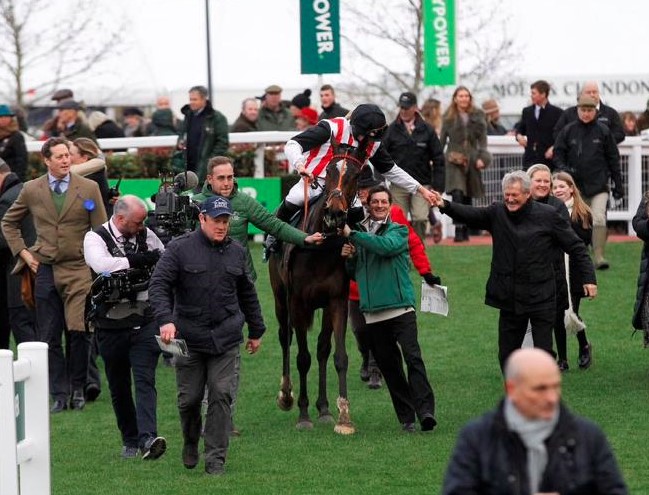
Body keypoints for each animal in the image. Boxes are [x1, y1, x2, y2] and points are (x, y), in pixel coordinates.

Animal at [268, 139, 368, 434]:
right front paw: (302, 414)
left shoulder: (336, 301)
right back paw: (286, 394)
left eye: (356, 175)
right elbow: (302, 357)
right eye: (331, 170)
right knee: (285, 338)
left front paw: (343, 416)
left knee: (322, 348)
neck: (321, 251)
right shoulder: (298, 303)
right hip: (280, 299)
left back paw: (323, 408)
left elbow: (338, 355)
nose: (334, 213)